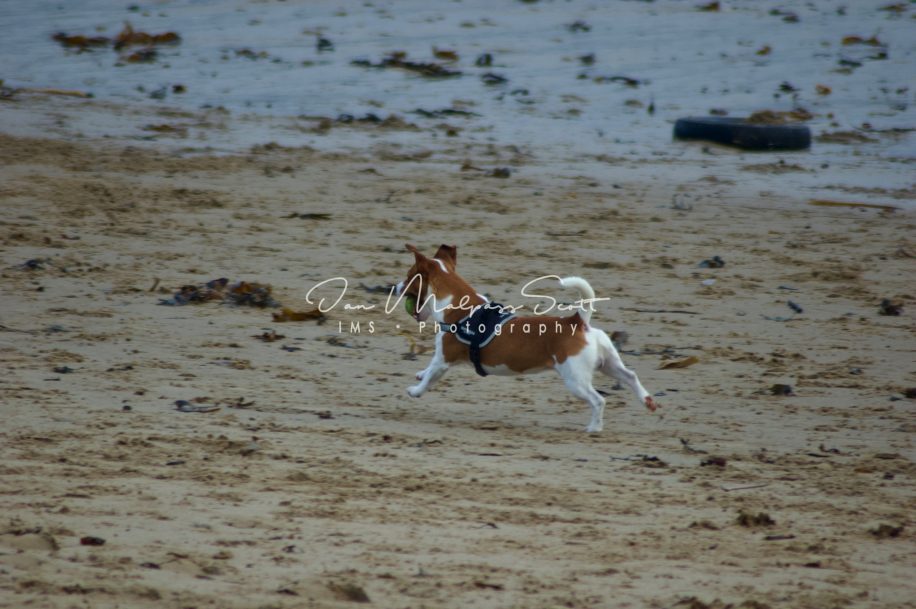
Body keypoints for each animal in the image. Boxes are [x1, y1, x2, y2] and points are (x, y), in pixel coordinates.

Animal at [395, 244, 659, 432]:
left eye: (408, 277)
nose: (395, 288)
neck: (460, 307)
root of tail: (577, 321)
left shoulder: (444, 360)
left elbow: (430, 375)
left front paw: (415, 390)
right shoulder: (442, 358)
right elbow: (427, 369)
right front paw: (419, 375)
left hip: (575, 379)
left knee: (598, 400)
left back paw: (594, 428)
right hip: (608, 364)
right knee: (630, 376)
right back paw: (646, 400)